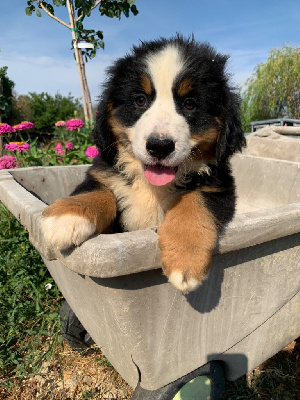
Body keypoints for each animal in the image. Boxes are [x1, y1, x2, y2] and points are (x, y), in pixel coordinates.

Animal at [41, 36, 245, 292]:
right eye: (140, 100)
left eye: (189, 104)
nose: (159, 146)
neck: (152, 188)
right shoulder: (104, 171)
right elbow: (98, 190)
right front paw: (67, 216)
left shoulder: (219, 187)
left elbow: (194, 202)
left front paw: (185, 260)